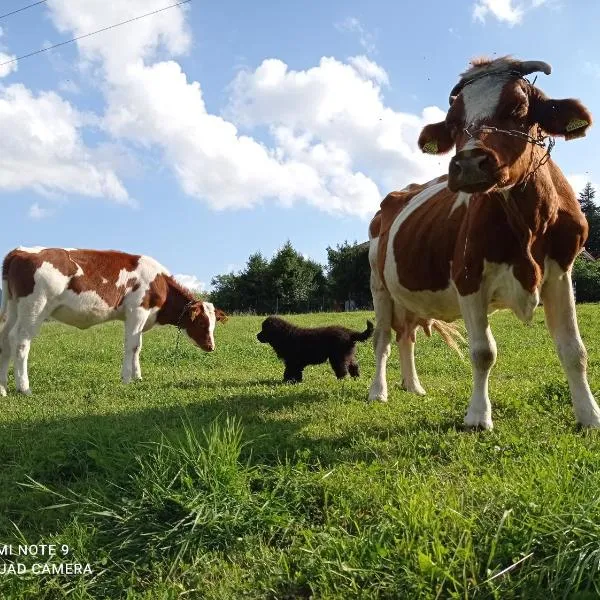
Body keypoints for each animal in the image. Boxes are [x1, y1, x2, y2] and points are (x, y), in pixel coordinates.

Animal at [0, 246, 227, 396]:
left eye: (214, 323)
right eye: (201, 323)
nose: (211, 347)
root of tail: (20, 251)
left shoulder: (139, 317)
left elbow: (138, 347)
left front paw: (138, 377)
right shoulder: (137, 311)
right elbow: (131, 346)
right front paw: (127, 379)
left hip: (13, 307)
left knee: (5, 340)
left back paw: (3, 387)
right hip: (34, 306)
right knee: (20, 342)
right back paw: (24, 388)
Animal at [368, 57, 600, 432]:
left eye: (518, 108)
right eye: (453, 122)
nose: (468, 164)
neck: (528, 223)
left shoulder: (560, 274)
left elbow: (573, 349)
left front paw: (589, 415)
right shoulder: (468, 278)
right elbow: (483, 352)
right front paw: (478, 416)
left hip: (409, 295)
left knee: (407, 336)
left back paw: (413, 385)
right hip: (379, 287)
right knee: (382, 340)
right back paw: (378, 391)